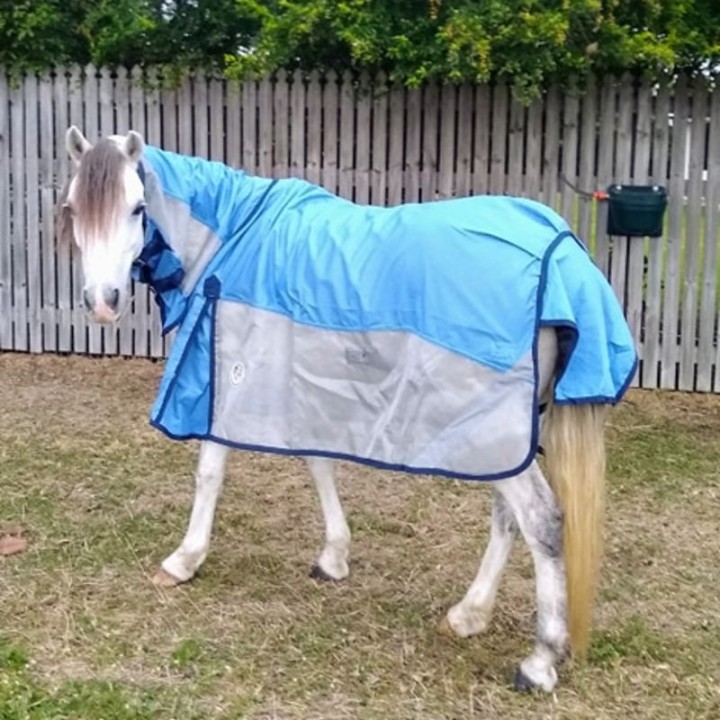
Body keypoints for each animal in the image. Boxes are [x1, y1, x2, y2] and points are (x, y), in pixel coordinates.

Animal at [58, 125, 637, 693]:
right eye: (72, 207)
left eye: (137, 207)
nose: (103, 301)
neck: (233, 238)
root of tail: (563, 255)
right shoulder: (300, 386)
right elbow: (320, 464)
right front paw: (333, 557)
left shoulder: (231, 378)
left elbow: (210, 472)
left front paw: (184, 559)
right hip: (509, 433)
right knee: (507, 517)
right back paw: (469, 615)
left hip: (493, 428)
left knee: (541, 520)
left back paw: (539, 661)